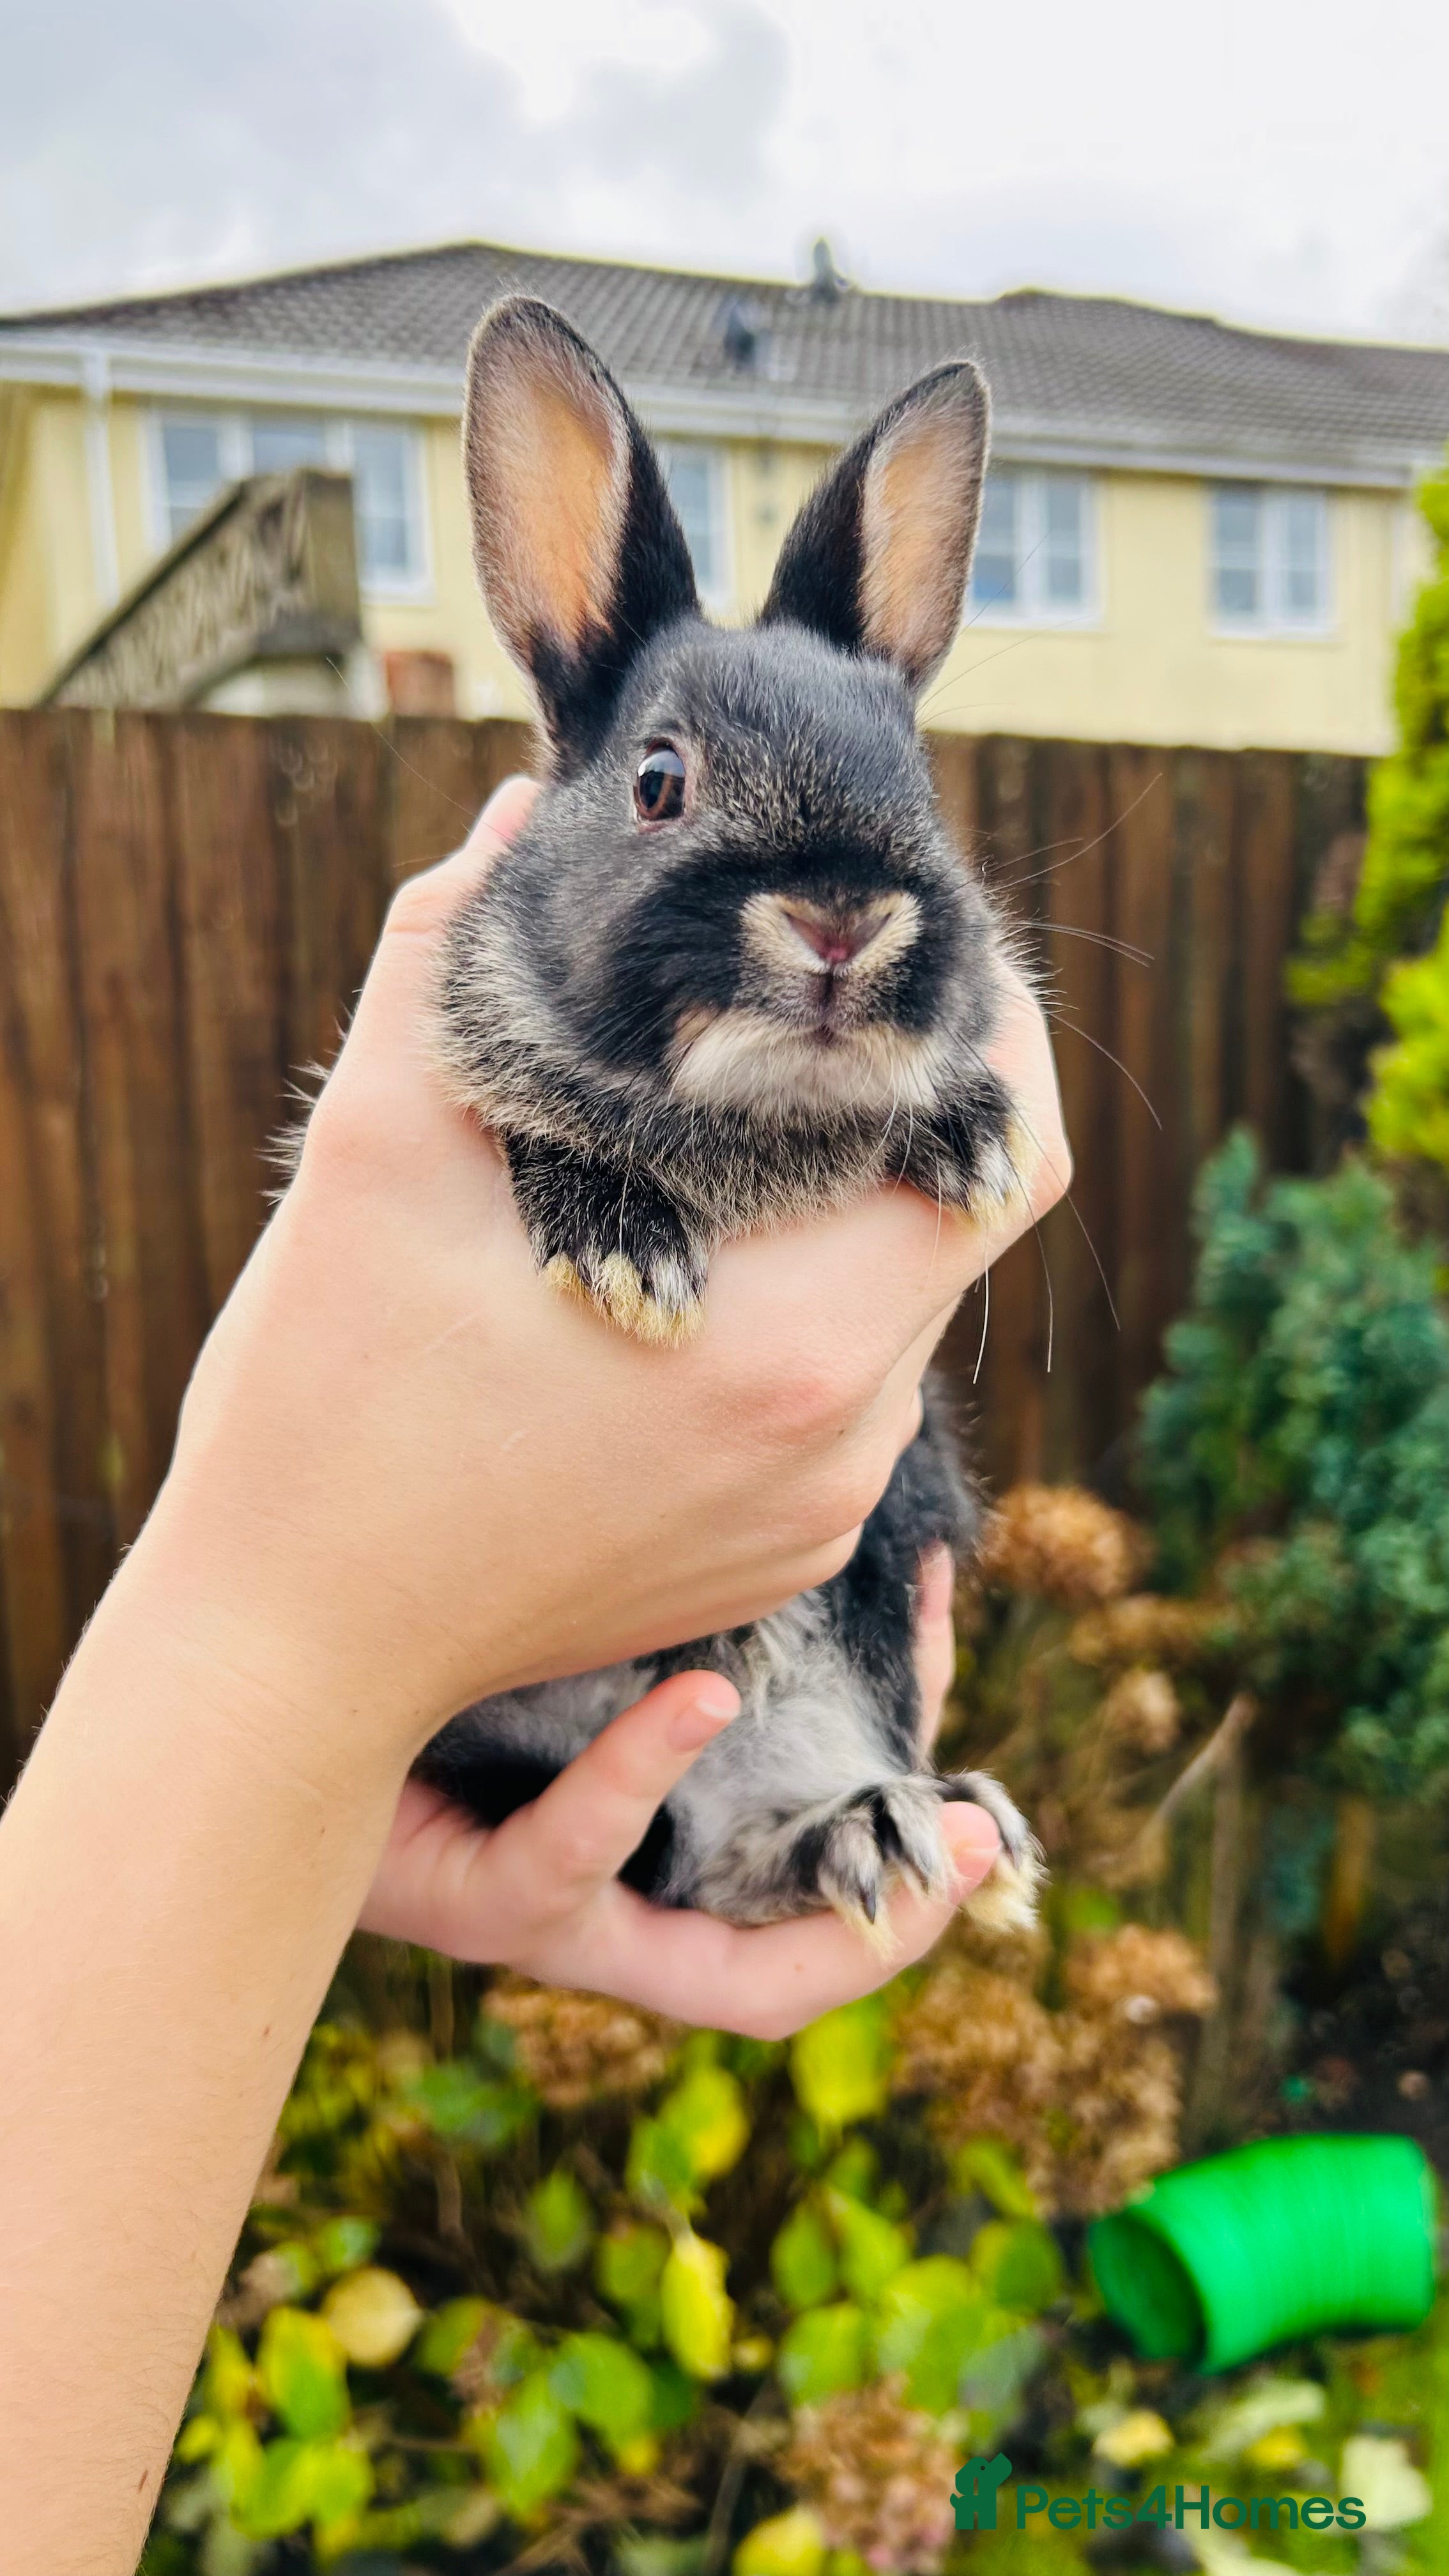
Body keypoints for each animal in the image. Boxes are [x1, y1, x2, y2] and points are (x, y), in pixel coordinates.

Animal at [415, 296, 1042, 1934]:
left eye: (923, 792)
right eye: (659, 781)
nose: (843, 916)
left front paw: (973, 1133)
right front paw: (627, 1250)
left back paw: (912, 1826)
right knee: (685, 1858)